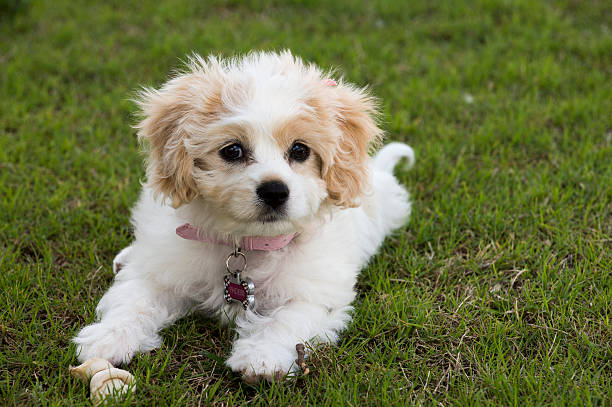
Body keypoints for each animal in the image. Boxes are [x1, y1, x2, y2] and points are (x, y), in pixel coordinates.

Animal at [74, 50, 414, 382]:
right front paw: (108, 337)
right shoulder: (161, 270)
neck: (248, 242)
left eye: (300, 150)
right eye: (233, 150)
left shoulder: (316, 294)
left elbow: (288, 319)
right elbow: (133, 299)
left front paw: (261, 357)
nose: (275, 191)